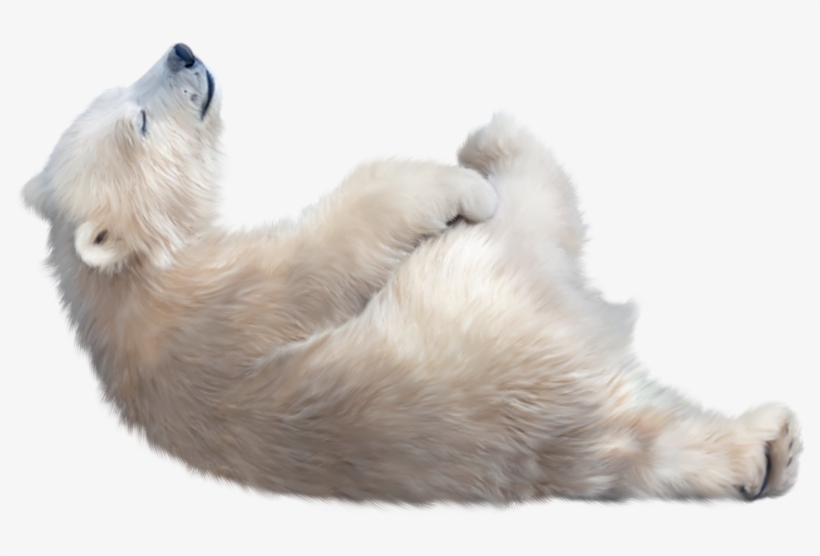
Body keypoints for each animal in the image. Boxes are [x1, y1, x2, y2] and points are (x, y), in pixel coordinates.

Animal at [22, 43, 801, 503]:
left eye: (122, 89)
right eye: (140, 122)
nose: (181, 50)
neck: (128, 286)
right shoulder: (228, 298)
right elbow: (344, 233)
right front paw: (459, 186)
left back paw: (771, 456)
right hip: (494, 273)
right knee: (537, 194)